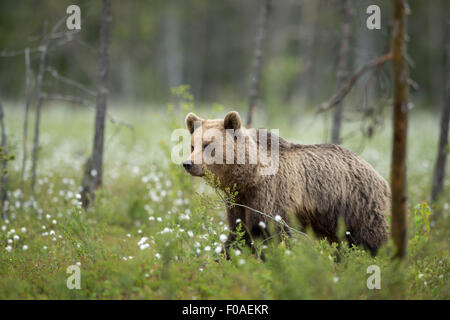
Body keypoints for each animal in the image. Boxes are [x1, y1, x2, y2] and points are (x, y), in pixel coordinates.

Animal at [183, 110, 390, 255]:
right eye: (193, 145)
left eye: (208, 145)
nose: (188, 163)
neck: (249, 177)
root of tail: (379, 175)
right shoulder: (239, 201)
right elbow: (238, 234)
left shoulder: (270, 194)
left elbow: (273, 234)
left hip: (358, 205)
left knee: (373, 239)